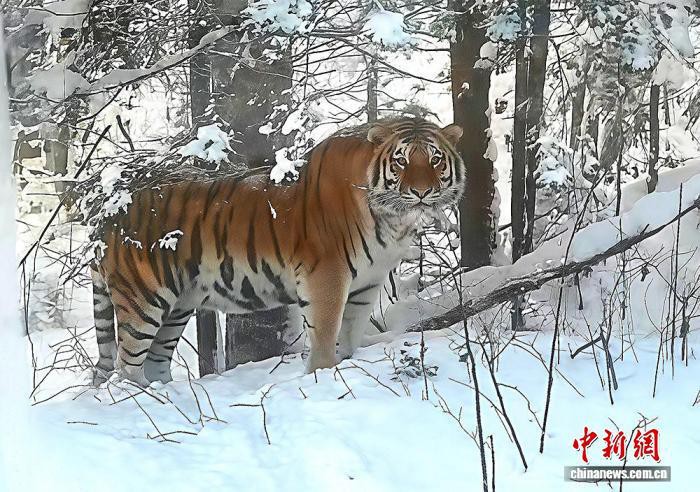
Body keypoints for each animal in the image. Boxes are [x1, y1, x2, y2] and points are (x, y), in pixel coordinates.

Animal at [90, 117, 465, 386]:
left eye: (435, 159)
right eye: (401, 160)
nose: (421, 192)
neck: (392, 219)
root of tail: (109, 212)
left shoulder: (367, 284)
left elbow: (350, 335)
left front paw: (343, 365)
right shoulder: (327, 277)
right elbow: (325, 336)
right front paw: (322, 376)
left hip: (177, 306)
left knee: (154, 362)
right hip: (142, 299)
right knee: (126, 366)